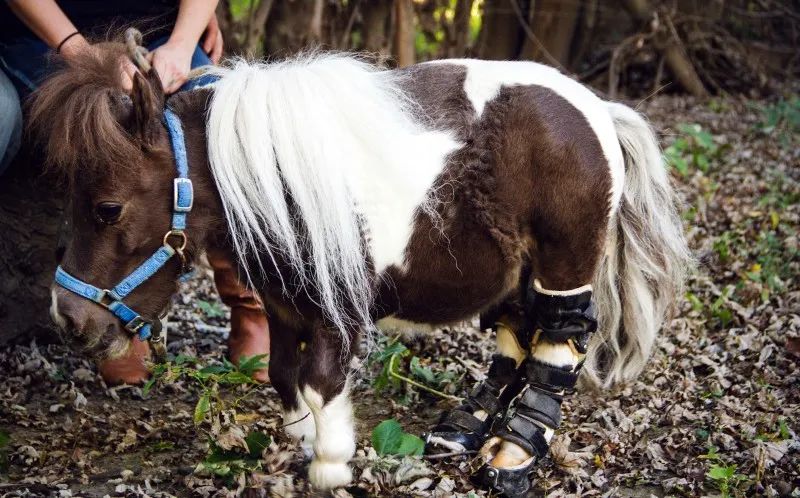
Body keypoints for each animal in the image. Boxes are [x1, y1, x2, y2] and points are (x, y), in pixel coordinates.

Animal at [32, 44, 688, 492]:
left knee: (557, 344)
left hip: (562, 262)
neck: (276, 179)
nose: (68, 319)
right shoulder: (283, 305)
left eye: (107, 208)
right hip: (515, 270)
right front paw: (300, 441)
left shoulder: (336, 310)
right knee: (514, 335)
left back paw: (514, 451)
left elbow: (322, 382)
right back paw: (464, 427)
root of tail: (599, 109)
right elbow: (282, 374)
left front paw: (330, 463)